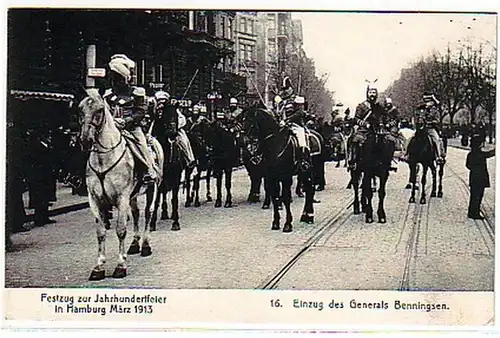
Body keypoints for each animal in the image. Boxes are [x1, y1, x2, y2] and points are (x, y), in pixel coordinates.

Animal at [78, 88, 164, 280]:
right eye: (80, 109)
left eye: (99, 110)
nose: (86, 140)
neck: (104, 159)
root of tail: (151, 137)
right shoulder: (95, 200)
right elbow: (101, 232)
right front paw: (99, 267)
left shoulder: (121, 198)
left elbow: (120, 230)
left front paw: (120, 265)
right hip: (133, 196)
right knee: (136, 213)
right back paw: (134, 245)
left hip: (152, 189)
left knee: (148, 213)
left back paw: (145, 246)